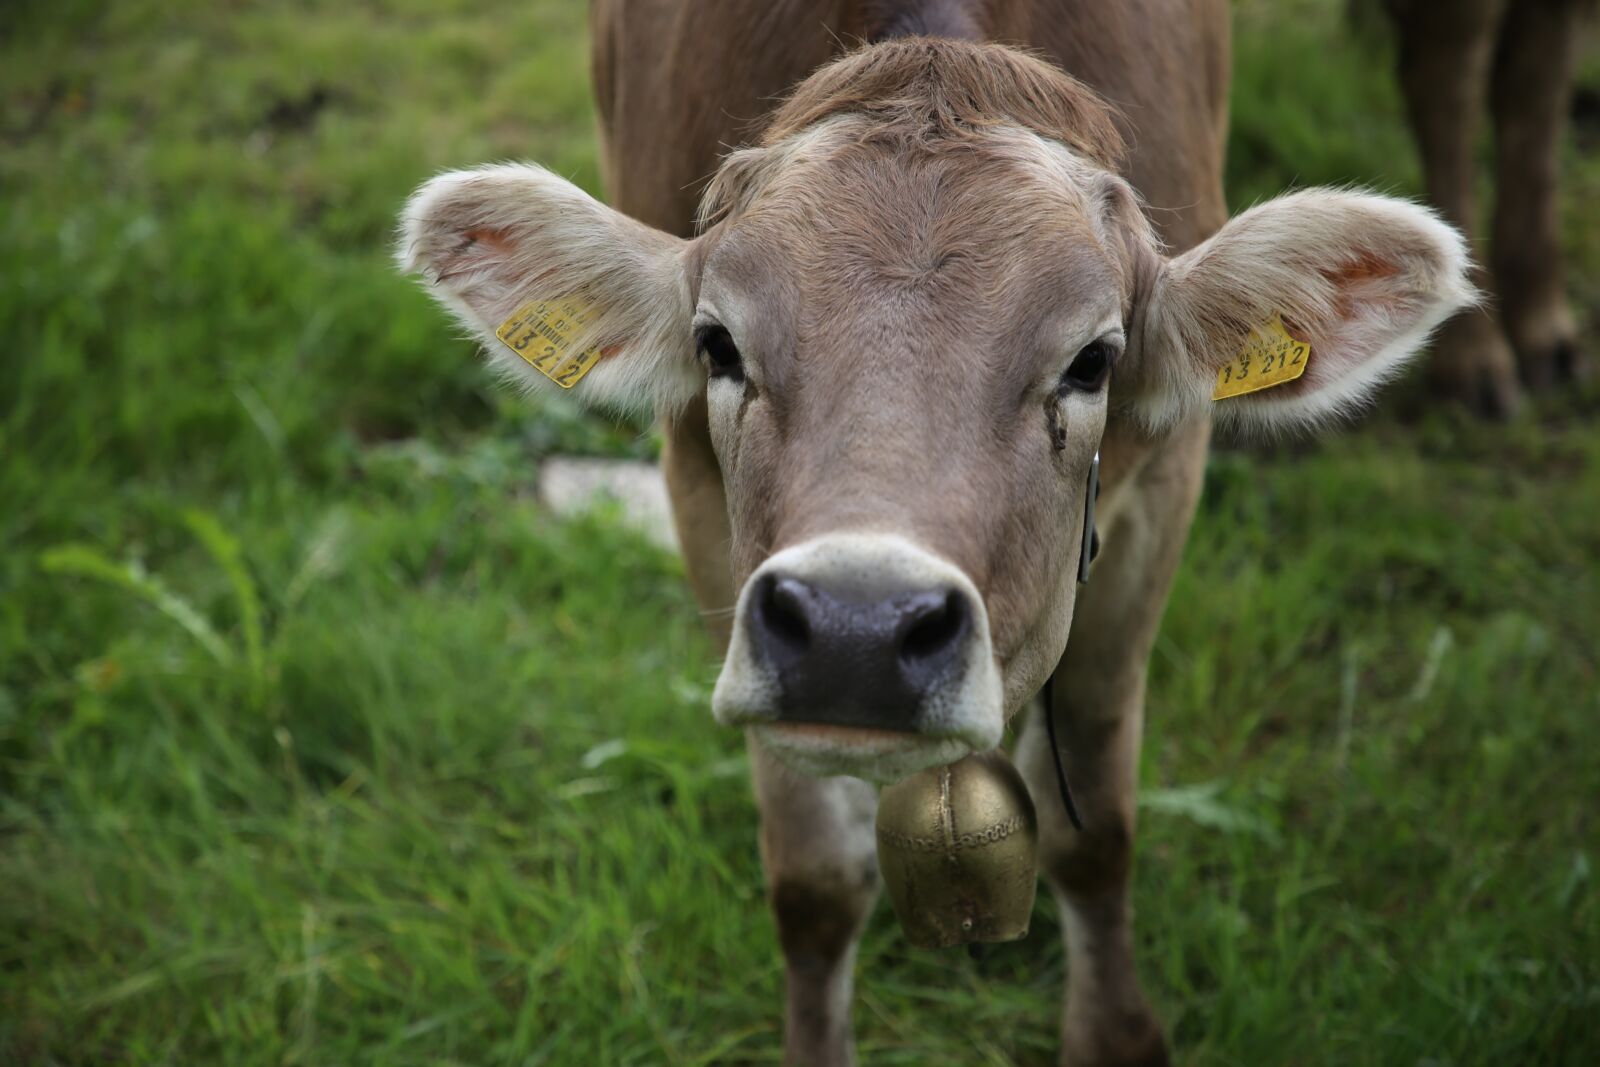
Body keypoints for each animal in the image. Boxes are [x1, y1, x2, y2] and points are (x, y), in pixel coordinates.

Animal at [398, 3, 1474, 1063]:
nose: (855, 631)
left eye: (1093, 360)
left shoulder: (1163, 489)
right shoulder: (698, 500)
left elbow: (1095, 831)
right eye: (717, 344)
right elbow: (814, 879)